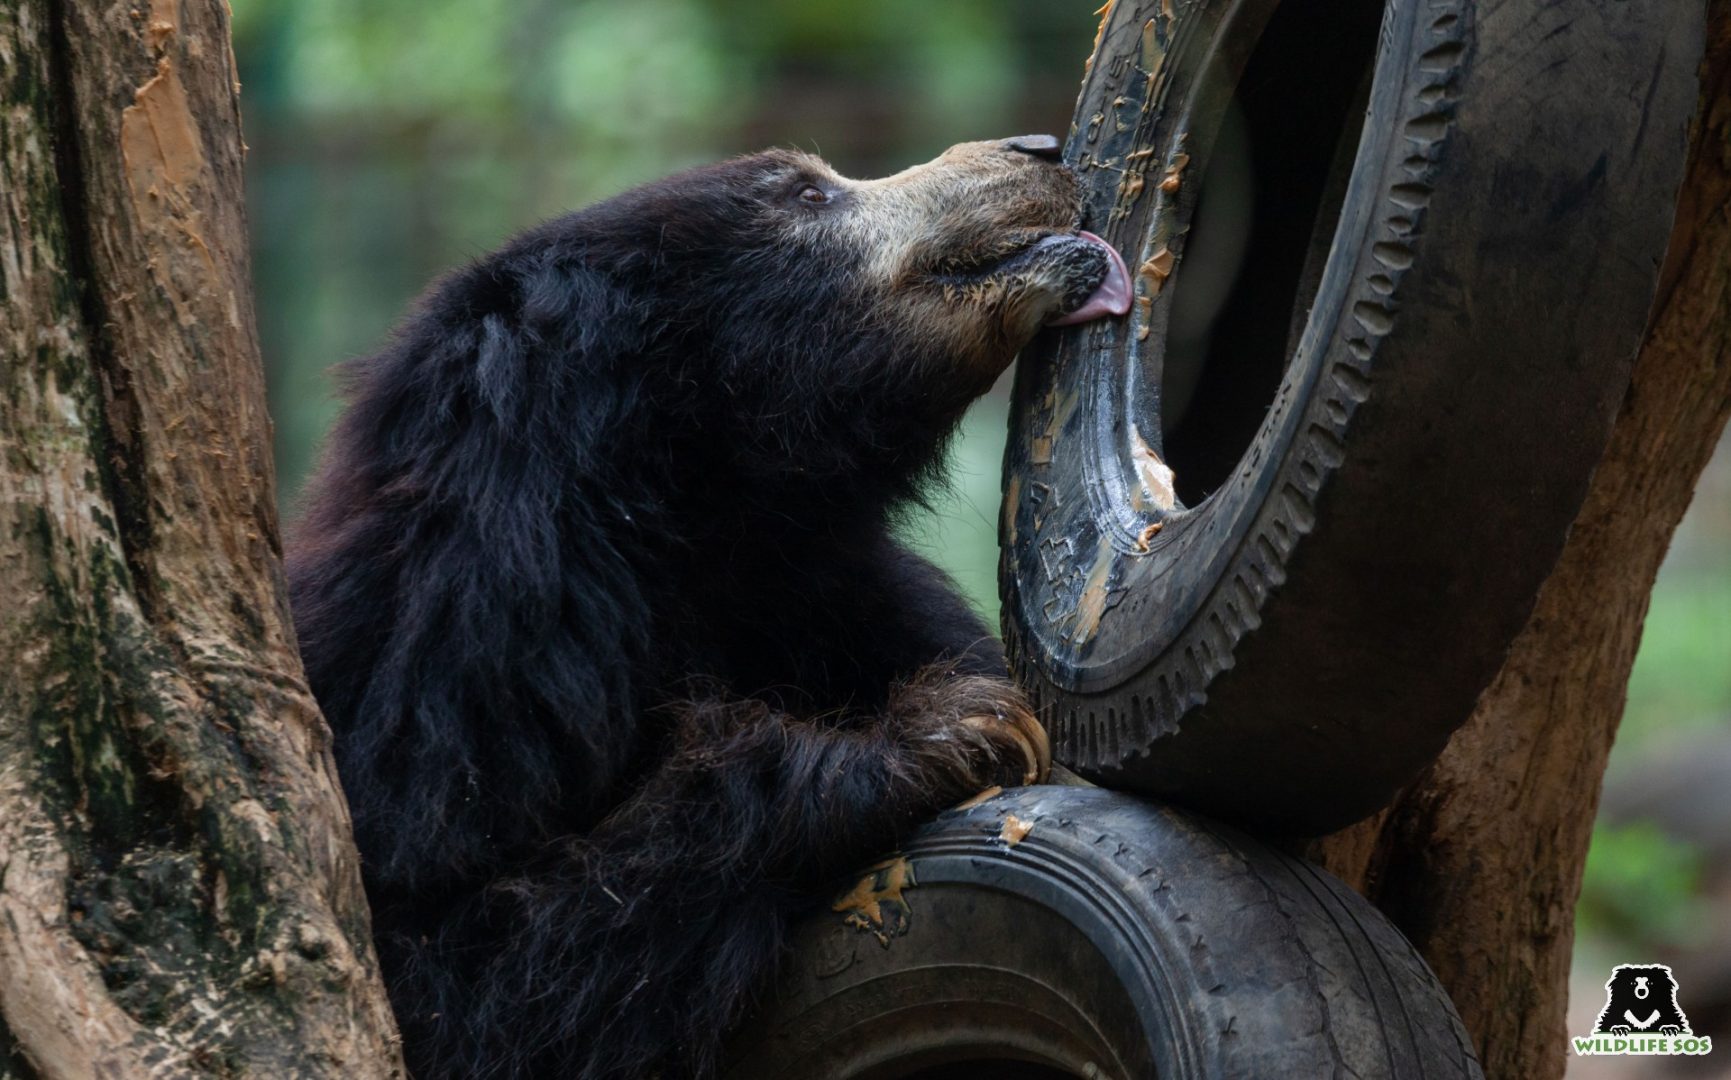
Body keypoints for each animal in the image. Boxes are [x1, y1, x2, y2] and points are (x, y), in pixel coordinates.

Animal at [289, 136, 1128, 1080]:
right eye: (806, 194)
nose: (1040, 150)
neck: (709, 532)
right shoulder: (436, 695)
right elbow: (464, 981)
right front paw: (959, 727)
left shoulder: (836, 588)